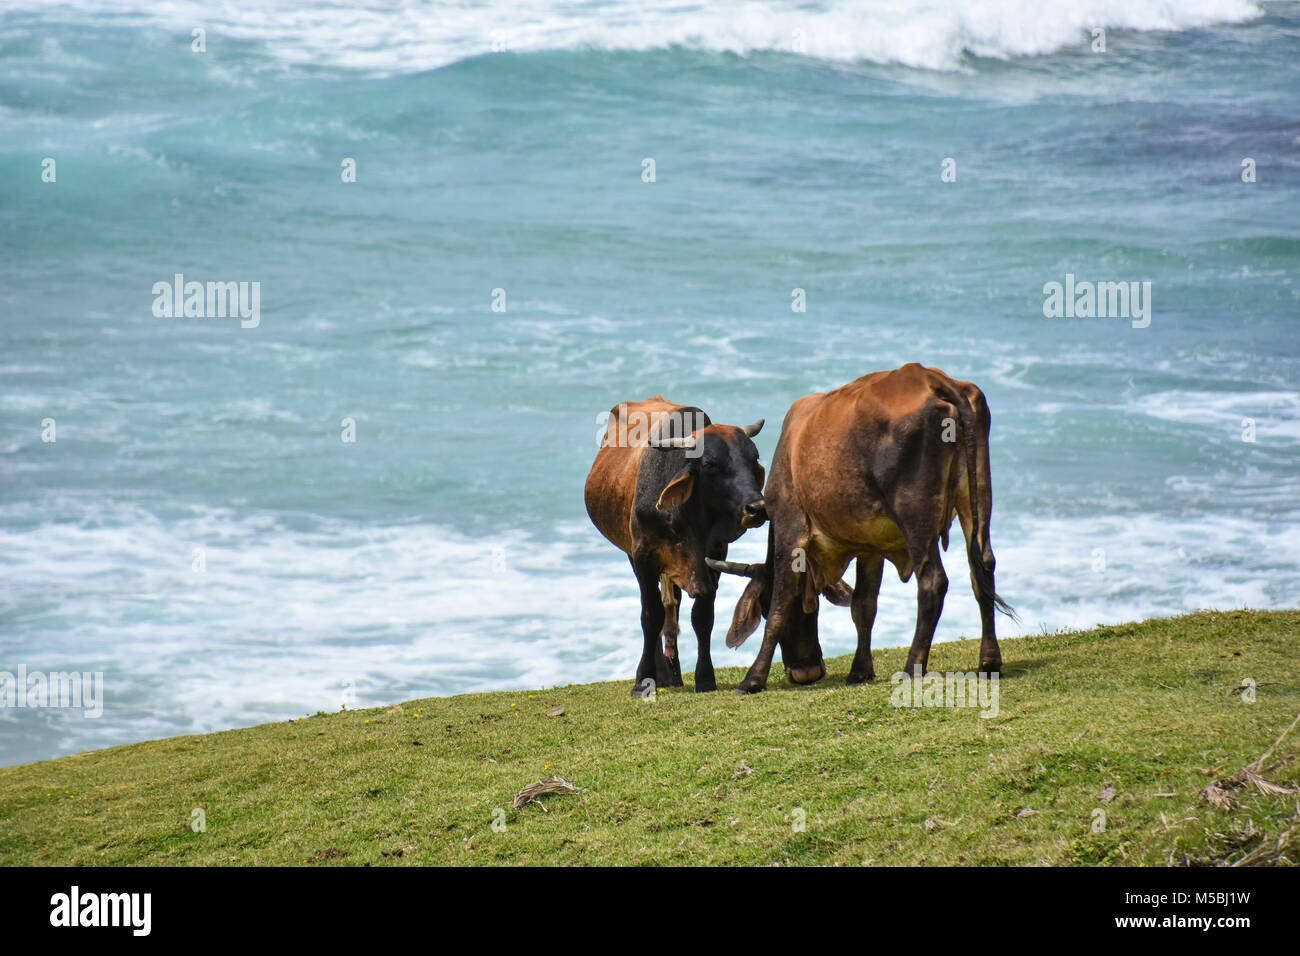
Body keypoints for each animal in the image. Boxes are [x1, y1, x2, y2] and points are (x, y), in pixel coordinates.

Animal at [585, 395, 764, 697]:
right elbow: (650, 615)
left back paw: (674, 674)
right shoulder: (643, 557)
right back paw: (660, 674)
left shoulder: (715, 556)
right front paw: (643, 679)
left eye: (755, 458)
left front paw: (705, 678)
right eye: (711, 464)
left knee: (674, 606)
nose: (757, 508)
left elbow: (702, 617)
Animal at [717, 366, 1008, 697]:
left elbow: (782, 605)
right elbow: (863, 606)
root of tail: (933, 379)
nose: (805, 671)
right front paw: (860, 670)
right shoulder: (871, 546)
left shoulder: (790, 530)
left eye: (763, 609)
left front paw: (753, 679)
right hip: (976, 494)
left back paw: (912, 667)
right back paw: (989, 661)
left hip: (914, 512)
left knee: (933, 581)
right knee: (982, 567)